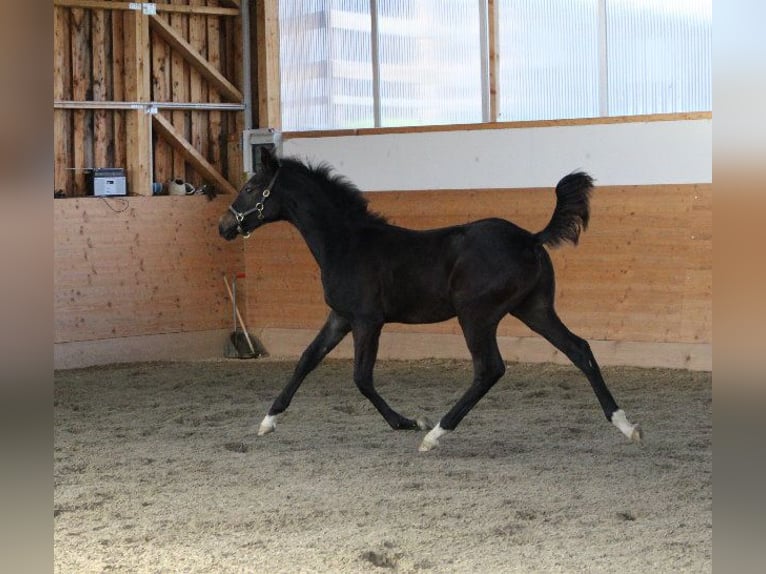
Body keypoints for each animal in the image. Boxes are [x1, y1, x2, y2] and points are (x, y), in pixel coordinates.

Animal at [219, 146, 644, 452]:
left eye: (252, 189)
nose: (224, 226)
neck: (347, 243)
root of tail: (529, 238)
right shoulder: (340, 317)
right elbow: (306, 360)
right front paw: (268, 421)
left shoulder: (367, 320)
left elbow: (361, 377)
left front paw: (408, 422)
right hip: (534, 309)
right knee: (579, 350)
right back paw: (625, 425)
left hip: (476, 316)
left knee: (489, 369)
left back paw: (436, 433)